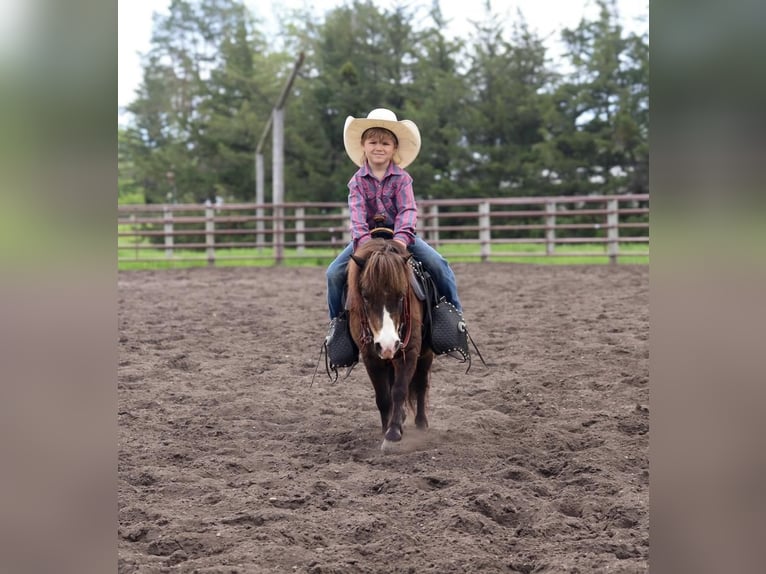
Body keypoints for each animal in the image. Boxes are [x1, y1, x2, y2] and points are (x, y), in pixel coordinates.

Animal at [350, 237, 436, 450]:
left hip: (425, 354)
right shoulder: (371, 356)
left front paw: (393, 431)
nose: (388, 344)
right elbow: (383, 396)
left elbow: (399, 390)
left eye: (401, 295)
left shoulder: (409, 351)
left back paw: (421, 423)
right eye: (365, 296)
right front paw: (386, 427)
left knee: (421, 384)